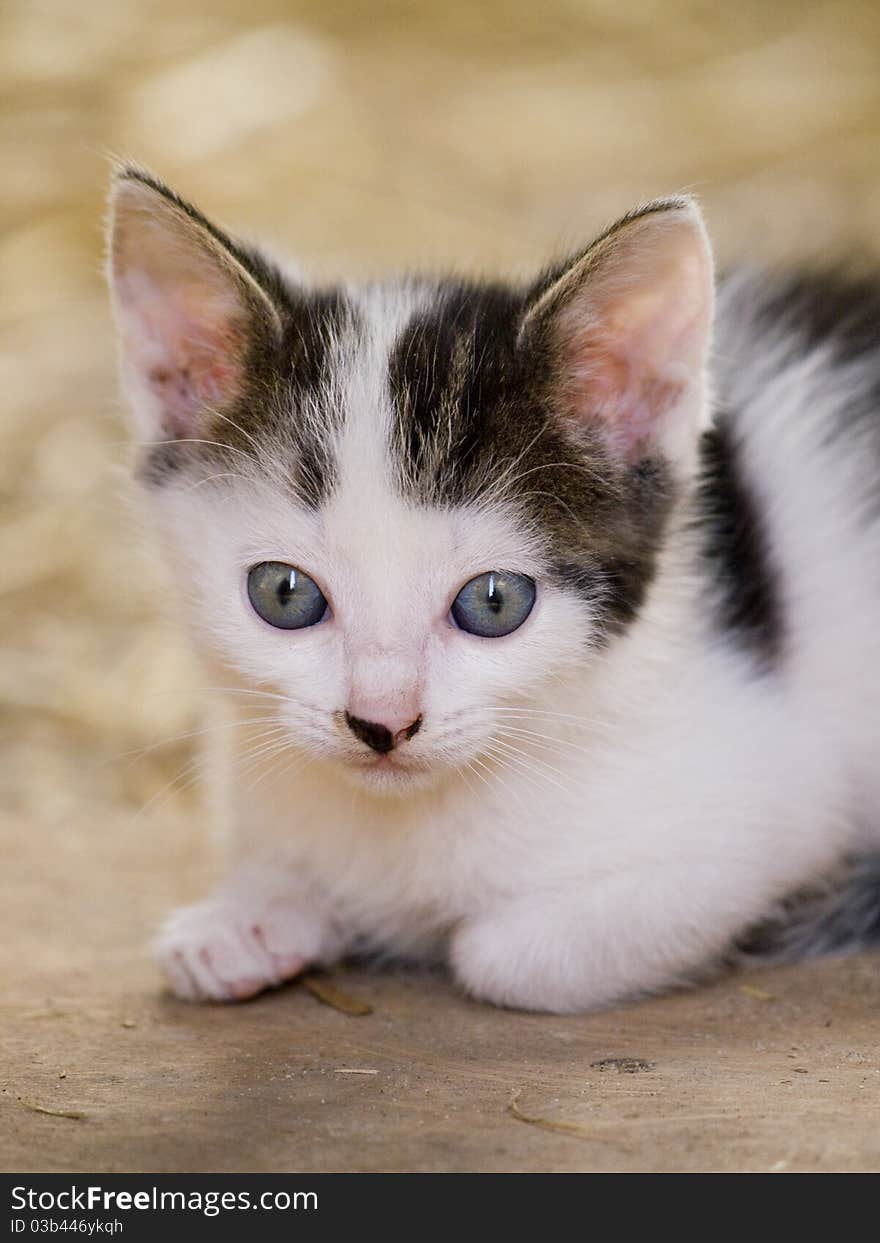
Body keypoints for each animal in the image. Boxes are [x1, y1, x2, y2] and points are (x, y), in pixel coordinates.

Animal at [105, 165, 879, 1014]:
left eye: (494, 603)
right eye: (284, 594)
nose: (382, 722)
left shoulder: (780, 805)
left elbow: (500, 954)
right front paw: (250, 917)